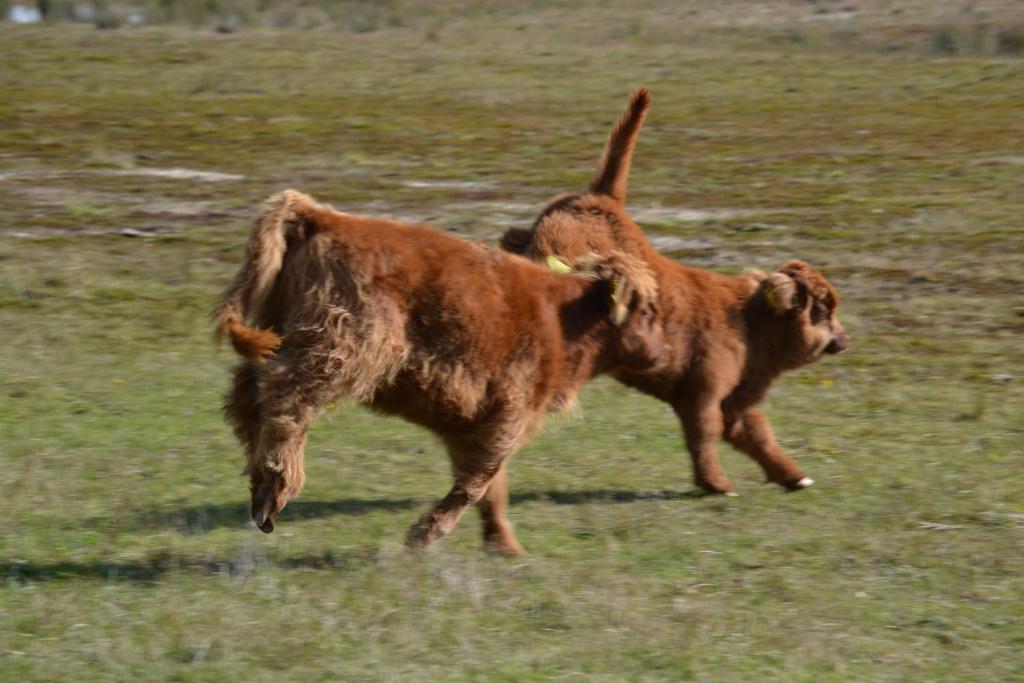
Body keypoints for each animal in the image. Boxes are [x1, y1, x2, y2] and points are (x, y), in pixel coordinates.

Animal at [219, 189, 659, 552]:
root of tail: (322, 216)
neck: (562, 317)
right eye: (648, 311)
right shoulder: (510, 413)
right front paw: (425, 534)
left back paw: (259, 485)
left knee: (247, 396)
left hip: (283, 334)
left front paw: (504, 546)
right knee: (285, 400)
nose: (657, 351)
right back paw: (276, 487)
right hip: (339, 349)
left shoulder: (473, 421)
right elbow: (479, 481)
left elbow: (490, 486)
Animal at [501, 92, 847, 497]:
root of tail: (601, 198)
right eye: (824, 311)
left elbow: (756, 432)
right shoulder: (704, 391)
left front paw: (794, 476)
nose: (845, 338)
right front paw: (716, 484)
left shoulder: (734, 401)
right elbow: (704, 434)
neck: (751, 324)